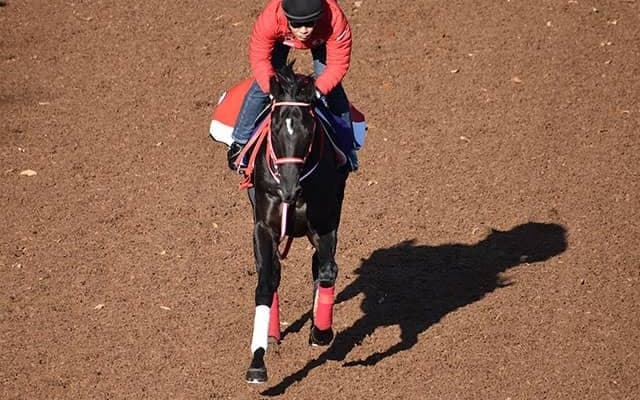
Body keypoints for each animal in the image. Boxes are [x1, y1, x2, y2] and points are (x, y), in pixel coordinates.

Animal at [235, 64, 349, 384]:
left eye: (308, 130)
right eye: (274, 128)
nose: (289, 189)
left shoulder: (325, 225)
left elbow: (326, 271)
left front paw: (321, 332)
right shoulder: (263, 227)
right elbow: (265, 281)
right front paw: (257, 361)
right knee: (273, 272)